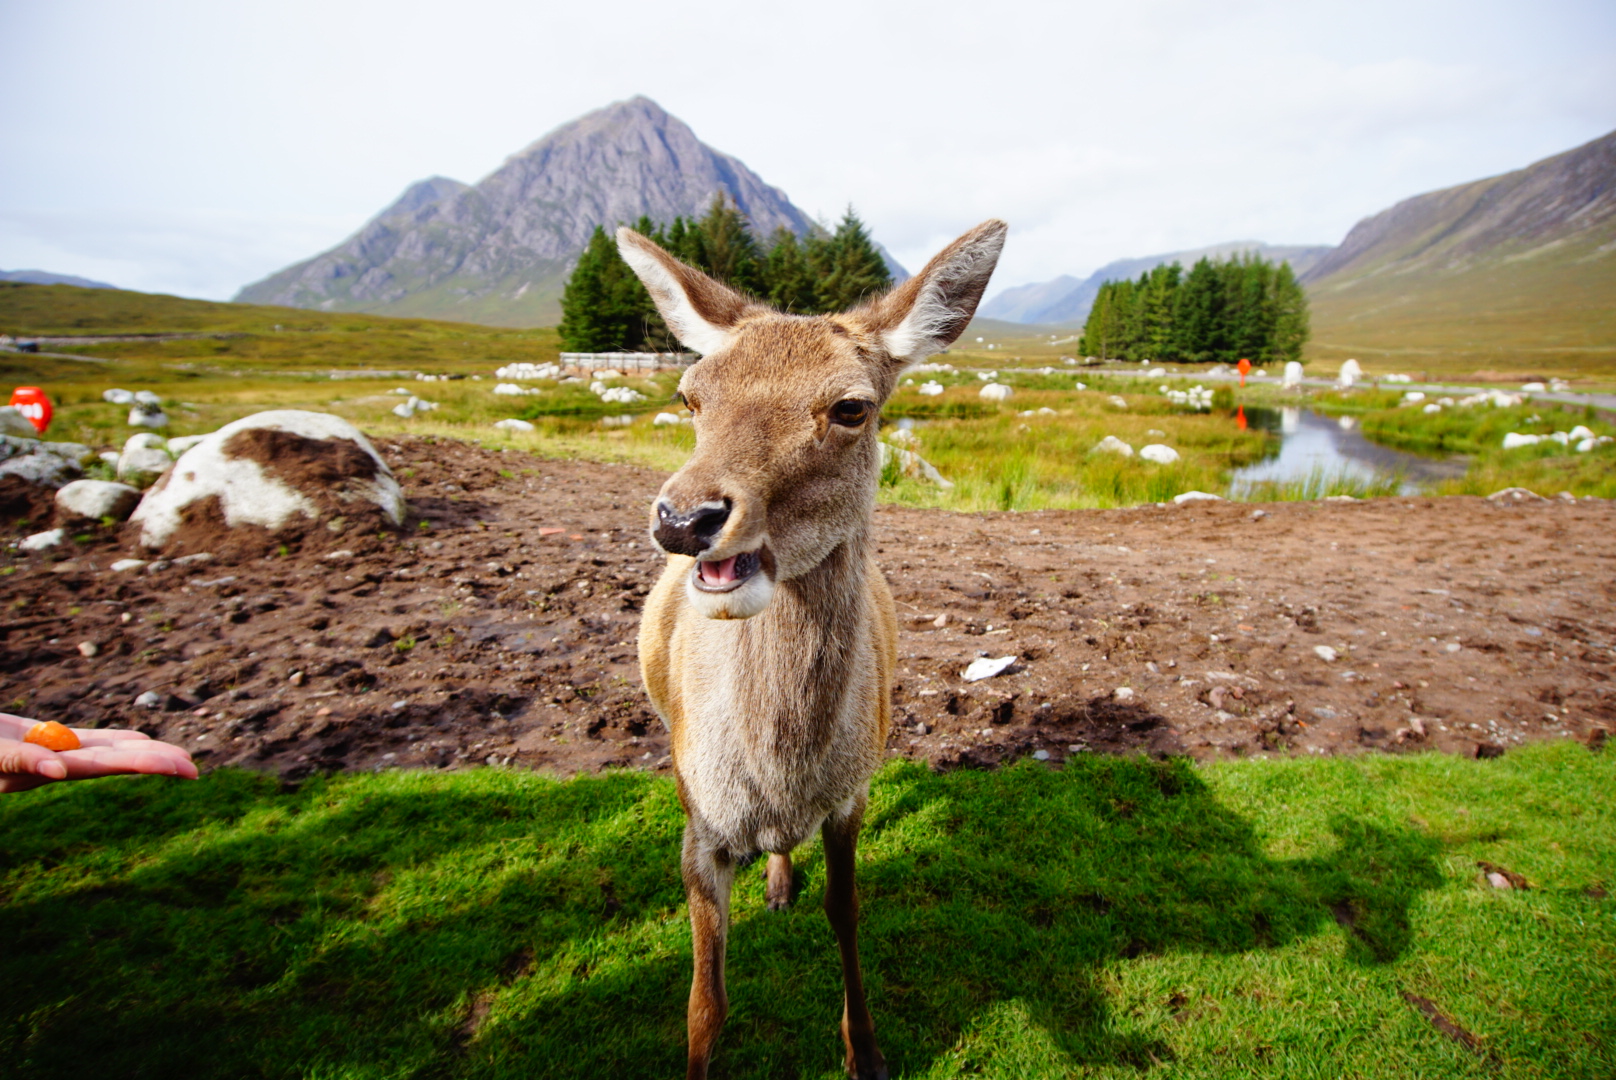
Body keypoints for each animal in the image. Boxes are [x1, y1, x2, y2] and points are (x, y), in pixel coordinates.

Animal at [623, 221, 1001, 1080]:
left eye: (851, 406)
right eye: (690, 396)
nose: (685, 519)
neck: (782, 777)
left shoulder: (851, 794)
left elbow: (847, 912)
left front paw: (867, 1050)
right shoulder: (697, 823)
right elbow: (705, 1006)